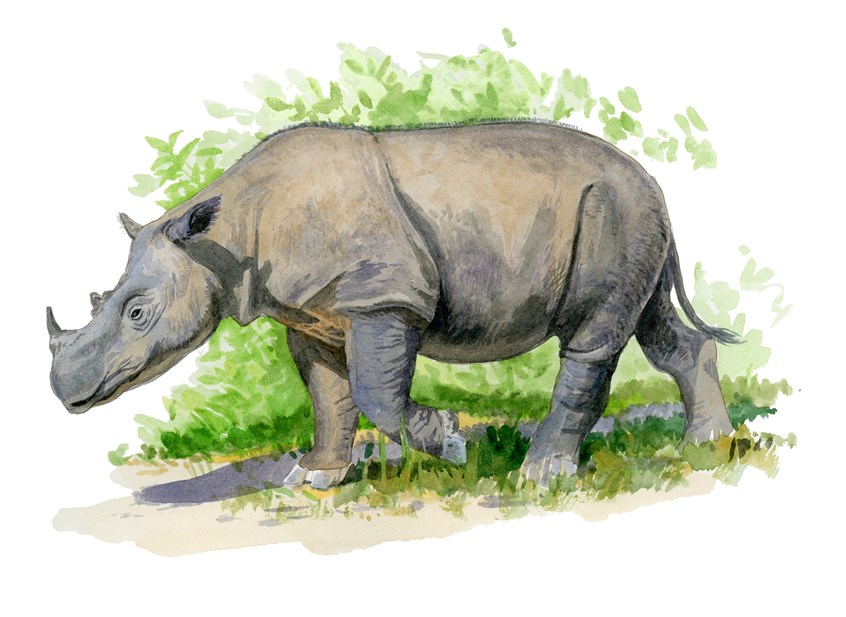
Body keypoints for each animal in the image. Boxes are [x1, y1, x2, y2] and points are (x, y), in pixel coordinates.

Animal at [47, 121, 738, 487]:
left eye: (137, 313)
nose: (63, 390)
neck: (226, 234)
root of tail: (654, 183)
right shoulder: (311, 315)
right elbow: (330, 396)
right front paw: (314, 479)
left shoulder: (385, 296)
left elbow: (376, 392)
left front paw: (452, 443)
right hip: (633, 217)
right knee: (654, 326)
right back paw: (709, 444)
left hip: (614, 209)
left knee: (592, 337)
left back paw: (542, 476)